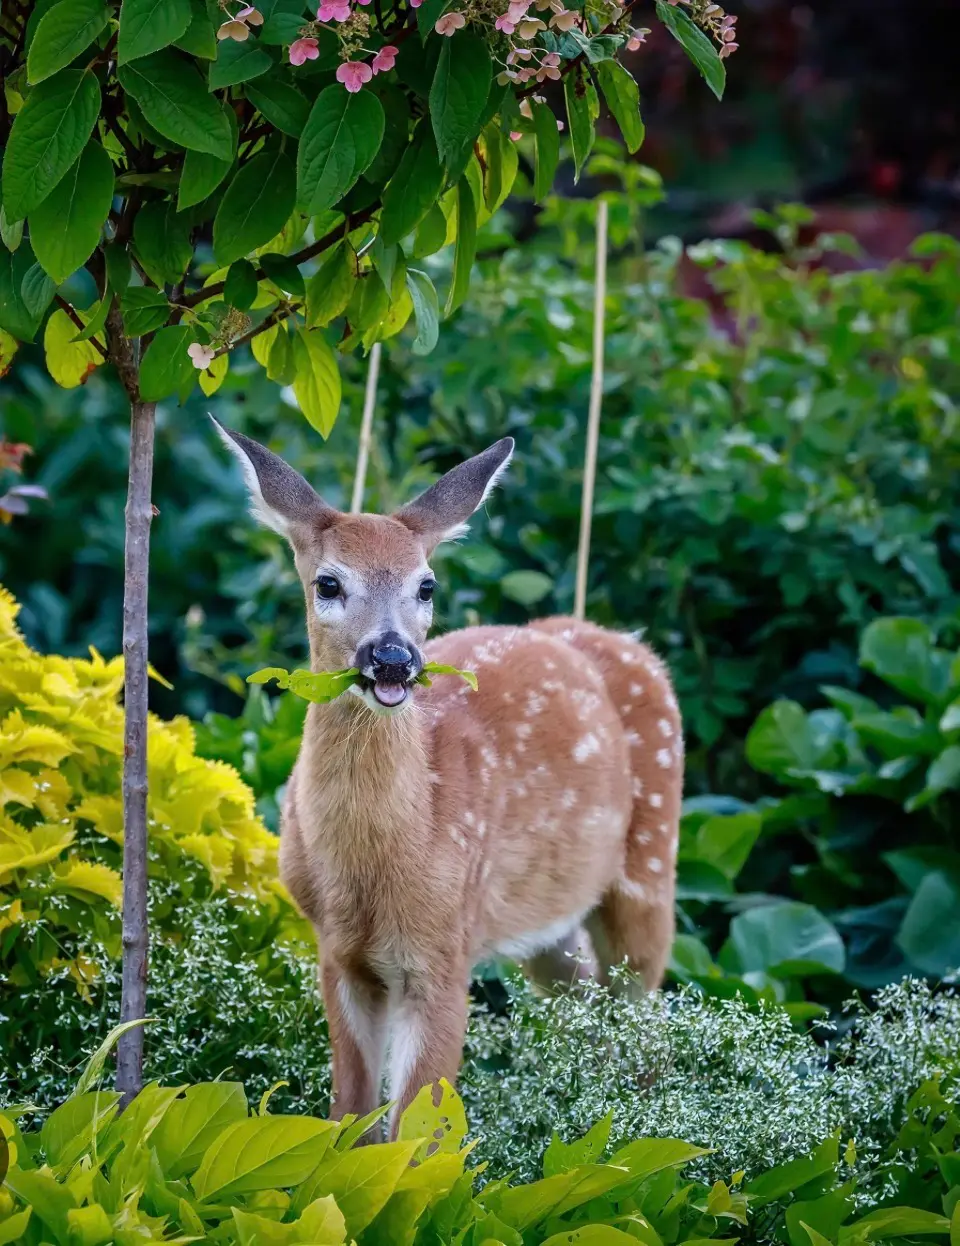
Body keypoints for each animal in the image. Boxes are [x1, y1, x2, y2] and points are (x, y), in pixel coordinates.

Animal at [215, 420, 683, 1133]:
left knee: (645, 1018)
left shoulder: (444, 948)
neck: (381, 858)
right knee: (587, 1009)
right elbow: (351, 1116)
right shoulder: (336, 951)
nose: (392, 658)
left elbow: (418, 1132)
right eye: (328, 584)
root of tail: (631, 643)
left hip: (650, 869)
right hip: (548, 922)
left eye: (426, 585)